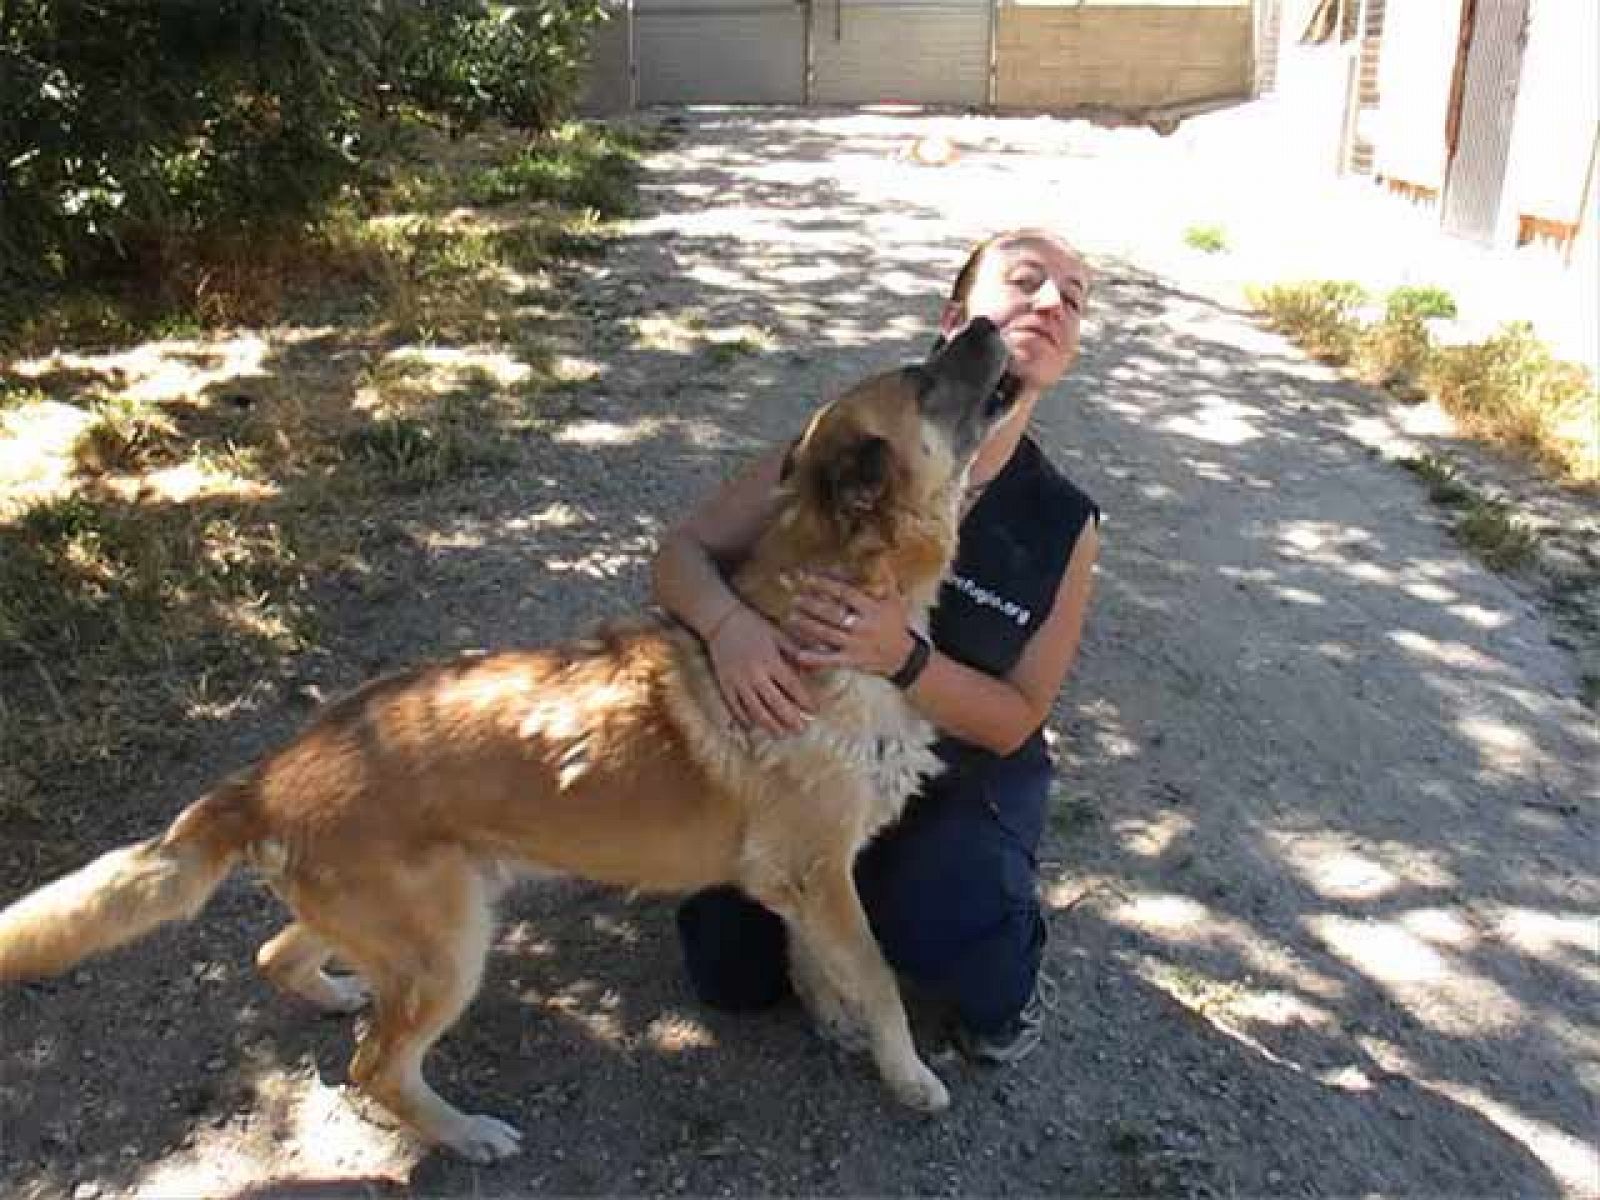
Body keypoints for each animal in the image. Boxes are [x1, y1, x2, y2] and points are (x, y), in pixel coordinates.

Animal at [0, 315, 1011, 1158]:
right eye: (924, 377)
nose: (988, 324)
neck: (827, 601)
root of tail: (263, 779)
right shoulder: (817, 873)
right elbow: (877, 976)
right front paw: (906, 1073)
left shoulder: (800, 879)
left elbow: (821, 963)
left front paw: (835, 1020)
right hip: (449, 947)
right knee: (375, 1067)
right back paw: (466, 1135)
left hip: (411, 924)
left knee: (279, 958)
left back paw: (337, 994)